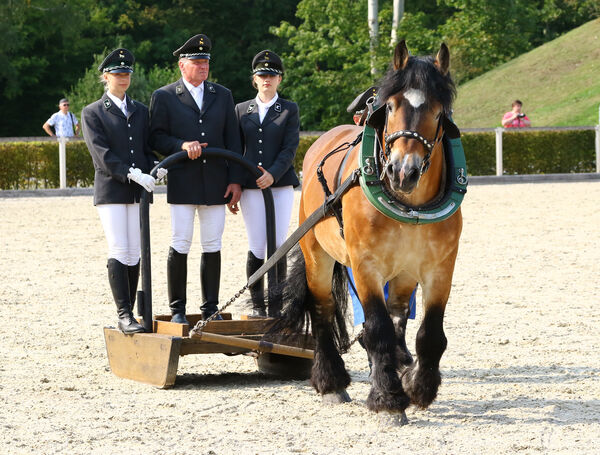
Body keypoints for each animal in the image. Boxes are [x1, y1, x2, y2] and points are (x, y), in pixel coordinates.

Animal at [282, 41, 464, 420]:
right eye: (390, 106)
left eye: (438, 111)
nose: (403, 171)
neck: (410, 204)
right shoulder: (365, 265)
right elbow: (377, 328)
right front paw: (388, 399)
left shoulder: (438, 267)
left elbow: (429, 333)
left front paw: (418, 387)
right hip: (317, 254)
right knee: (322, 310)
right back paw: (331, 381)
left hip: (403, 271)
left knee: (397, 315)